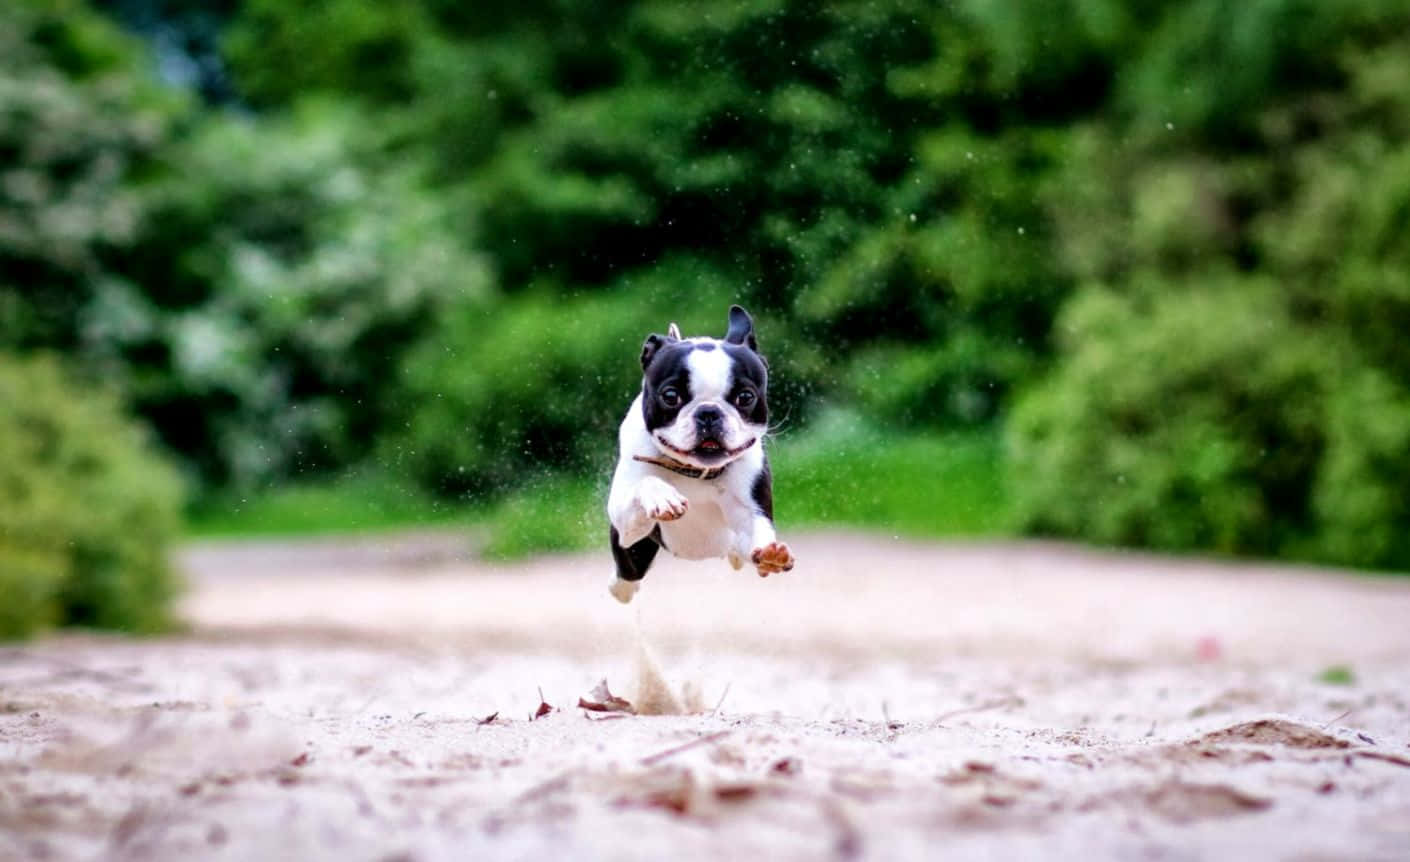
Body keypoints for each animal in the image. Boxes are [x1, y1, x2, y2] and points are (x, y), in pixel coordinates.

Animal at [606, 307, 795, 603]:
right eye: (670, 396)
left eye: (745, 397)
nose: (708, 412)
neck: (694, 471)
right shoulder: (623, 519)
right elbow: (645, 484)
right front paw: (662, 497)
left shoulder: (751, 512)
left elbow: (757, 532)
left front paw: (771, 555)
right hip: (632, 552)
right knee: (627, 578)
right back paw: (622, 588)